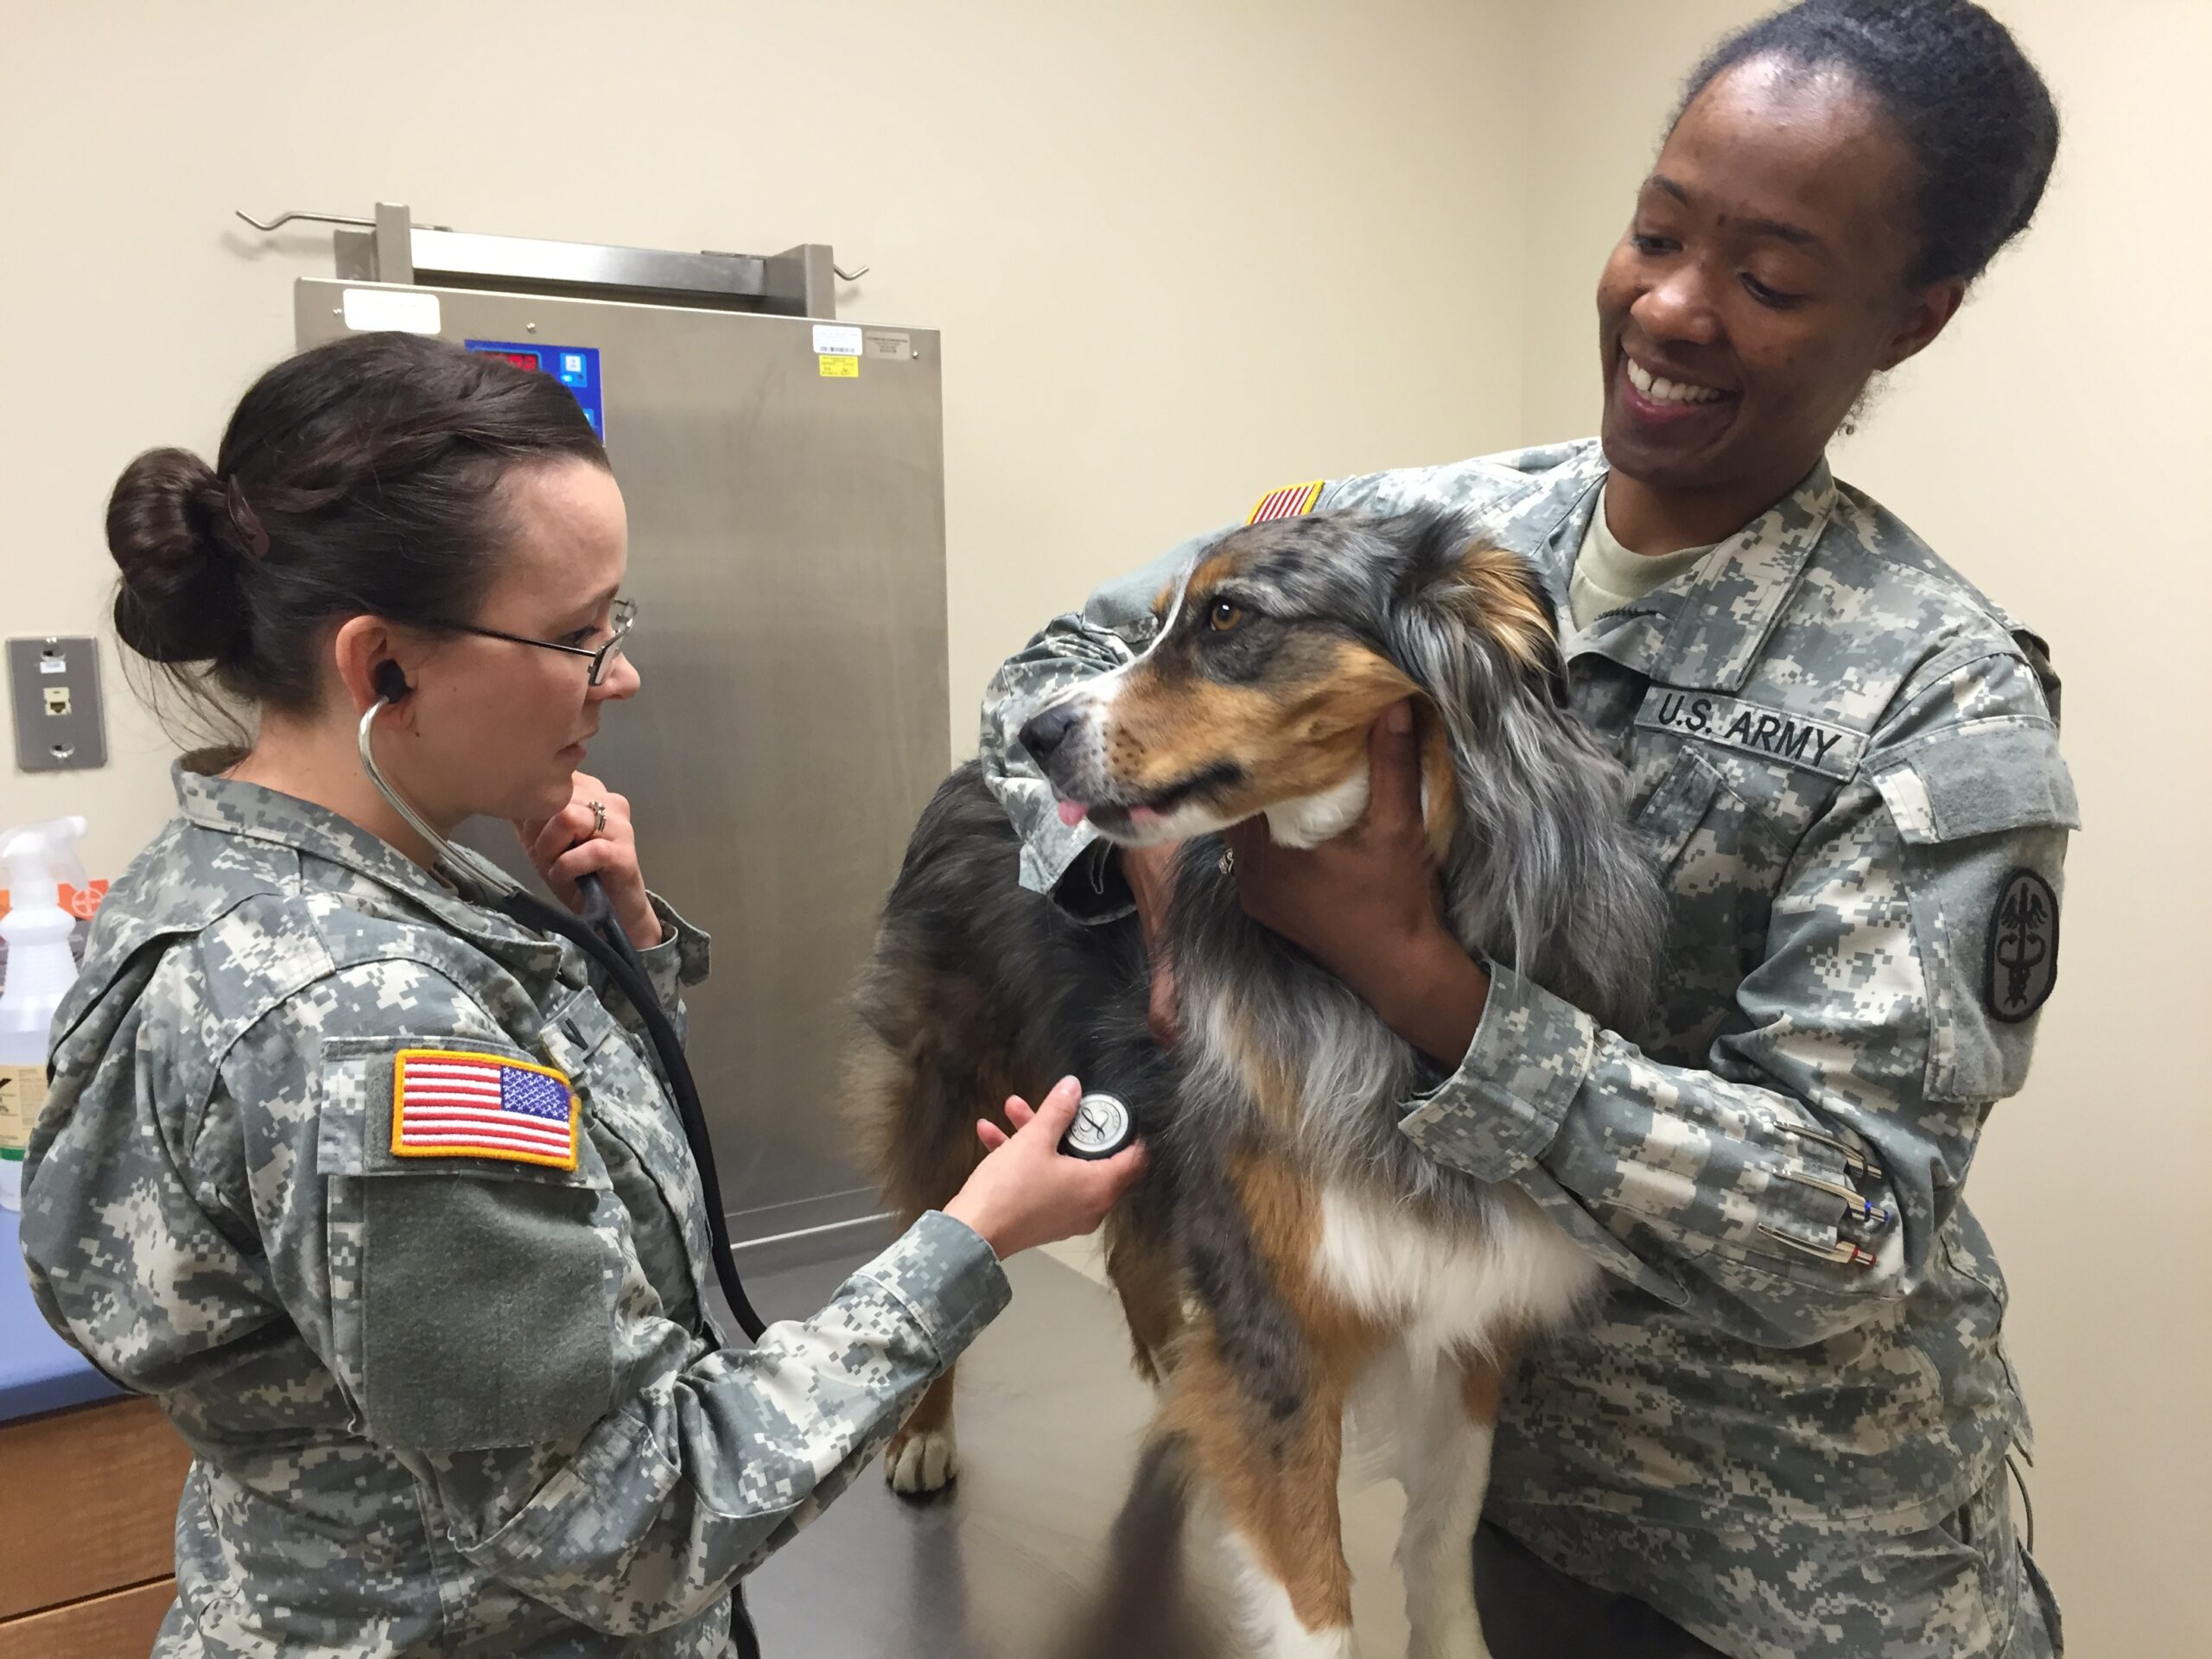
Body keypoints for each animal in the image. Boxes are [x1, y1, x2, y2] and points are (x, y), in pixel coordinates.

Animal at [854, 512, 1663, 1654]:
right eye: (1154, 625)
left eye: (1229, 617)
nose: (1039, 735)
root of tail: (966, 772)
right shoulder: (1280, 1325)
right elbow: (1314, 1602)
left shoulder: (1470, 1309)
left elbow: (1444, 1537)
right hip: (953, 1093)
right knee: (934, 1242)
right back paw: (927, 1435)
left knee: (1133, 1255)